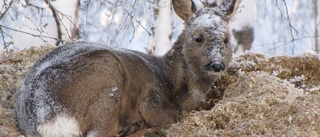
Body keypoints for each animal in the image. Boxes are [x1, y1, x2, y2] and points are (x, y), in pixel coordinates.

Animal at [15, 0, 240, 136]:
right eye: (198, 37)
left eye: (227, 39)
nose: (217, 64)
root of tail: (47, 112)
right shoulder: (152, 102)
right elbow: (168, 120)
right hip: (107, 76)